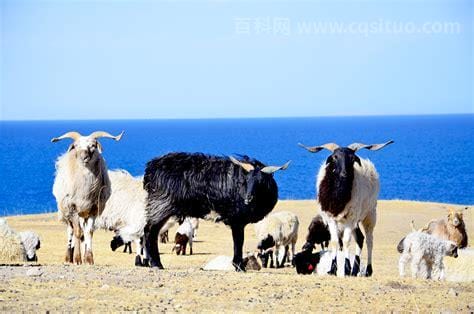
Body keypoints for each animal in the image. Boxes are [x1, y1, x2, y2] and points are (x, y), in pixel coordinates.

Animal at [51, 130, 123, 264]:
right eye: (76, 146)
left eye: (93, 146)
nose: (84, 157)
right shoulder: (73, 208)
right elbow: (77, 233)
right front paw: (77, 258)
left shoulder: (93, 209)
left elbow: (89, 232)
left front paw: (89, 258)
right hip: (66, 212)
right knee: (71, 231)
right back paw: (68, 257)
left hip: (83, 214)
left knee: (83, 232)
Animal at [143, 152, 288, 270]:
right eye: (246, 180)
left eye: (260, 181)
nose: (248, 198)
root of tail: (151, 168)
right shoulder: (237, 220)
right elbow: (238, 241)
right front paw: (238, 266)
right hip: (161, 205)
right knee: (150, 231)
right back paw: (156, 264)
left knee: (151, 231)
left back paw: (155, 263)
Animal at [300, 141, 392, 276]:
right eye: (335, 157)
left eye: (352, 158)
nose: (344, 174)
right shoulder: (331, 219)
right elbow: (335, 241)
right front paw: (333, 269)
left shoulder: (350, 218)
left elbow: (346, 241)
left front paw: (346, 268)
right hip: (355, 221)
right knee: (360, 238)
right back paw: (355, 270)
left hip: (369, 215)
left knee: (369, 241)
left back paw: (367, 270)